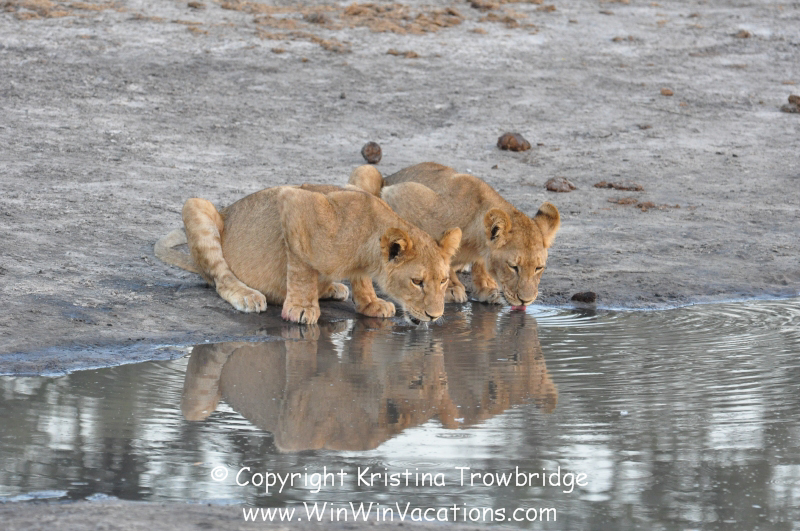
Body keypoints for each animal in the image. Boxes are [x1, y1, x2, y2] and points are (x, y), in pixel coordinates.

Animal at [155, 183, 461, 325]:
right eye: (417, 282)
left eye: (443, 281)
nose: (435, 316)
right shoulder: (295, 203)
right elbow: (301, 267)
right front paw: (302, 308)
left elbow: (361, 280)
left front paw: (371, 303)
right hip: (197, 206)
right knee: (219, 278)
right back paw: (247, 295)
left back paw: (332, 288)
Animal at [349, 162, 560, 309]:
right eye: (513, 267)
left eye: (539, 268)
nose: (526, 301)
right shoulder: (400, 194)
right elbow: (440, 256)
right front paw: (450, 287)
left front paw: (486, 287)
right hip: (367, 171)